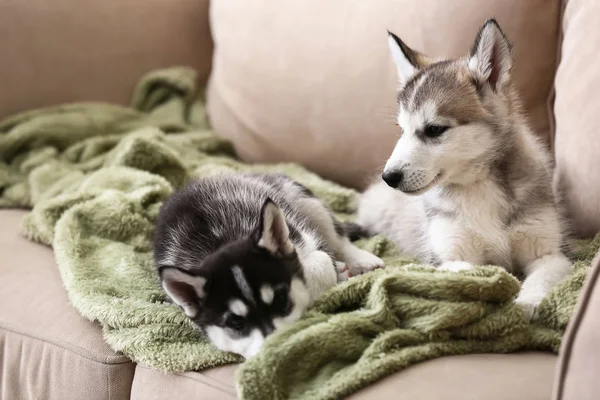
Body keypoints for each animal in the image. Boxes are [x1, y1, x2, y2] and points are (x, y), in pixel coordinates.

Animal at [152, 173, 382, 358]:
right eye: (236, 323)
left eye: (280, 299)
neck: (223, 241)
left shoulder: (302, 238)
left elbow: (321, 260)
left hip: (303, 198)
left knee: (338, 237)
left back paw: (361, 259)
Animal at [356, 18, 572, 320]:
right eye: (401, 130)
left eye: (434, 129)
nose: (389, 177)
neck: (478, 184)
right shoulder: (450, 256)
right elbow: (474, 271)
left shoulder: (550, 254)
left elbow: (540, 278)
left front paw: (526, 303)